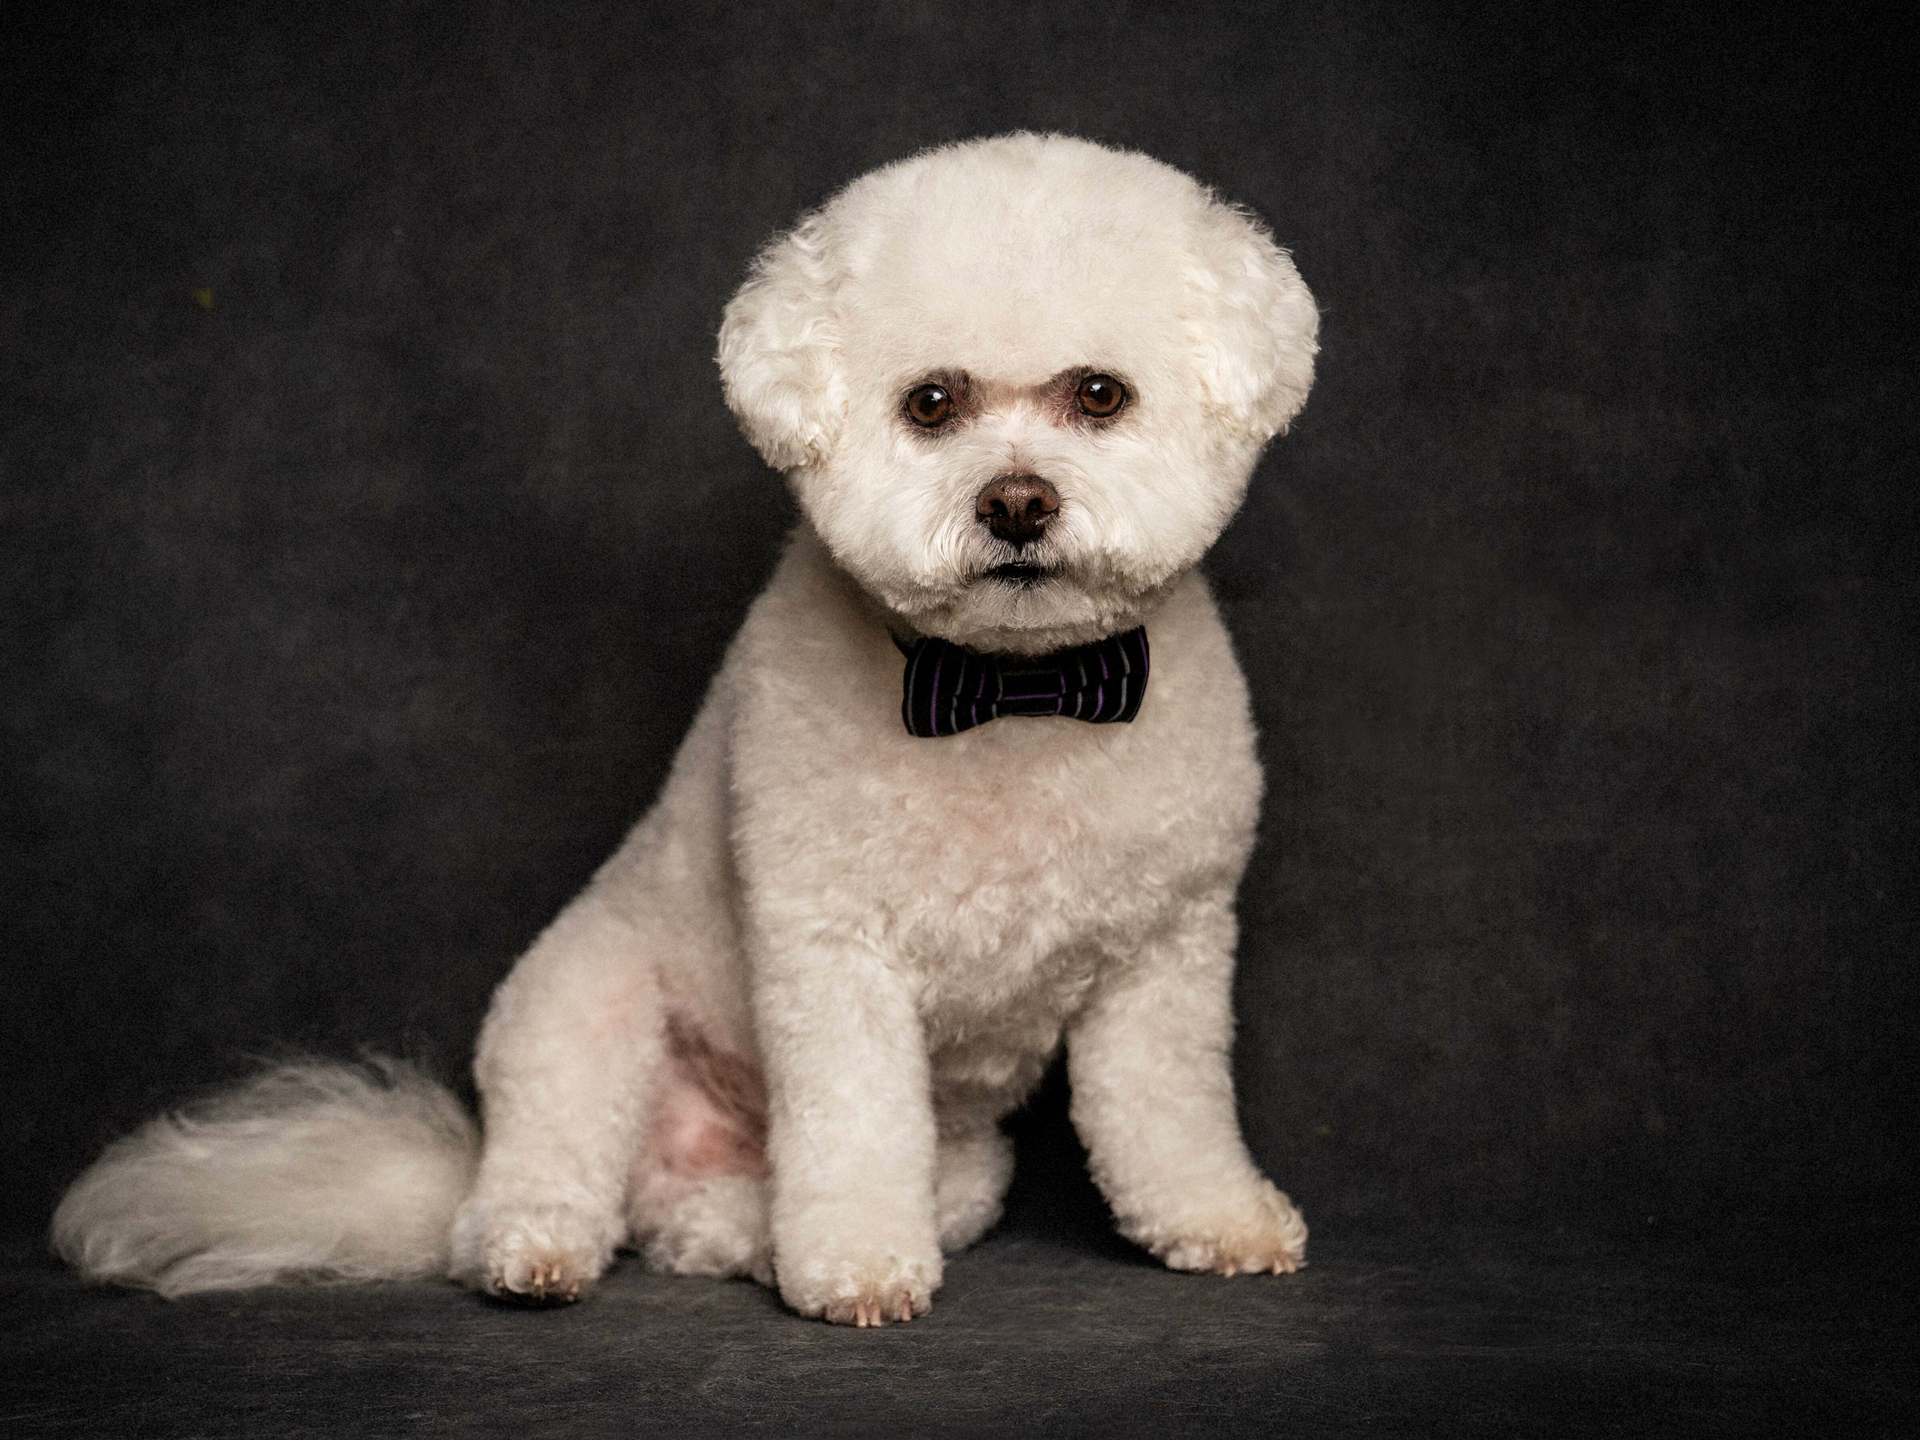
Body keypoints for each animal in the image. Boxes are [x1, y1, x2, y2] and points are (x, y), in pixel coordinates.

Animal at [56, 135, 1320, 1328]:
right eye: (931, 403)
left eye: (1101, 395)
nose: (1015, 503)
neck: (1014, 693)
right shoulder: (831, 958)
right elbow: (852, 1129)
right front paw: (856, 1264)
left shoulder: (1167, 950)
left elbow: (1168, 1110)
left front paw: (1216, 1218)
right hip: (578, 1018)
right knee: (548, 1179)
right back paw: (542, 1248)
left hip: (959, 1166)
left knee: (700, 1220)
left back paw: (748, 1236)